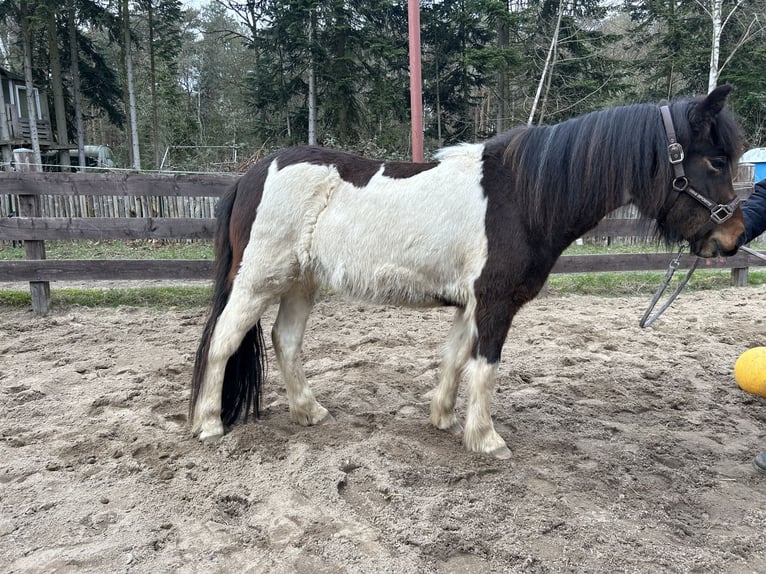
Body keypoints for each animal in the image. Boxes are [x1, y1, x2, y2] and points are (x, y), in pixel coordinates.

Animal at [190, 85, 745, 459]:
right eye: (716, 161)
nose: (734, 237)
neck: (523, 196)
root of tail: (252, 174)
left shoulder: (471, 303)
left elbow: (455, 358)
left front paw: (441, 418)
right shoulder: (496, 302)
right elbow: (486, 365)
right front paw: (485, 438)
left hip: (300, 283)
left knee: (285, 341)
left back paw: (309, 412)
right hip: (258, 281)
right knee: (222, 340)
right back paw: (209, 424)